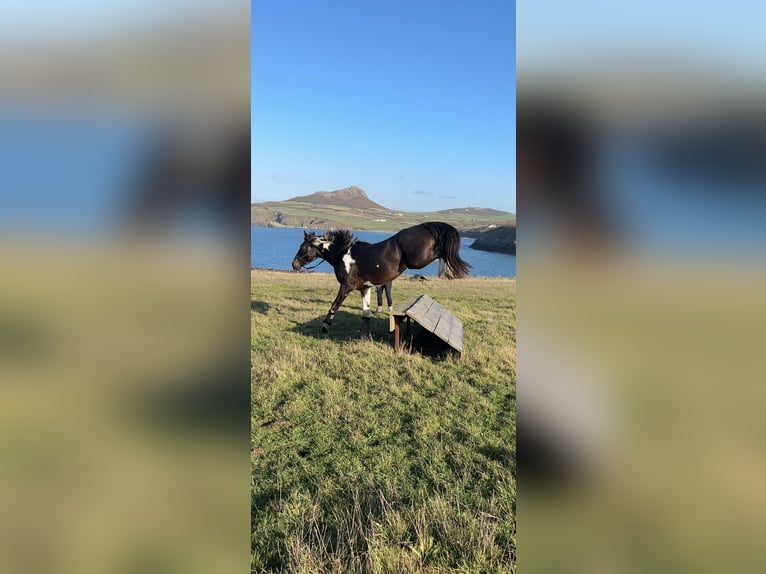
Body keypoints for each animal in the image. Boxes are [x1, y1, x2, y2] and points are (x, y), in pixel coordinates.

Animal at [291, 222, 471, 333]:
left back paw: (448, 271)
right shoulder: (364, 288)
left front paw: (324, 327)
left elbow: (334, 306)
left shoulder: (346, 287)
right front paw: (364, 334)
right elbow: (366, 314)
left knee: (441, 254)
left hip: (418, 261)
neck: (342, 255)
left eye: (303, 248)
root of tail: (426, 228)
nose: (294, 264)